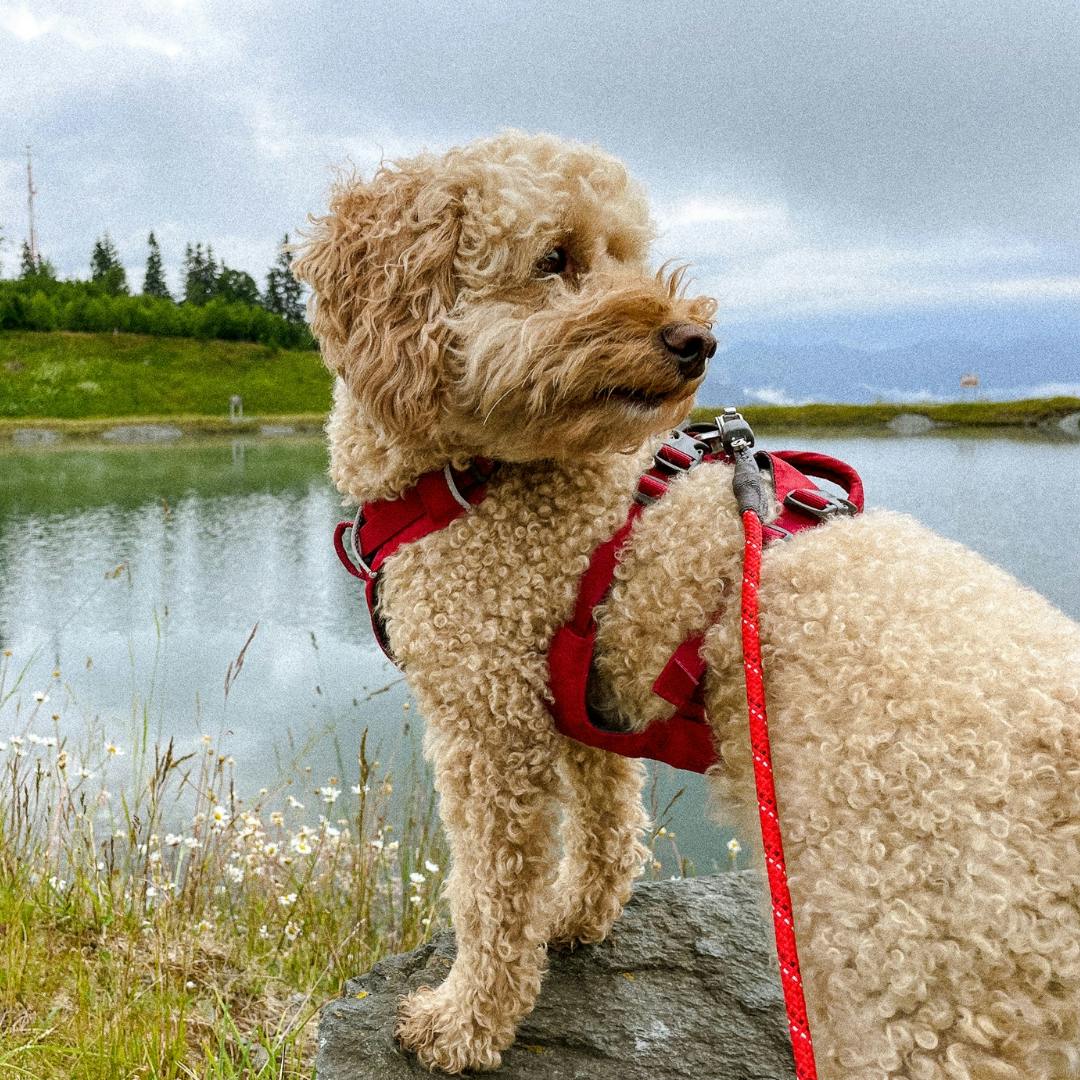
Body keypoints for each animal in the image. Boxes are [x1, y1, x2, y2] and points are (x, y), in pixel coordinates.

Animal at [293, 130, 1080, 1075]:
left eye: (622, 252)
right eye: (555, 259)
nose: (696, 340)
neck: (484, 476)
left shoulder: (489, 722)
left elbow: (491, 894)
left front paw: (463, 1021)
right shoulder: (580, 697)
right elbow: (606, 821)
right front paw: (578, 917)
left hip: (916, 987)